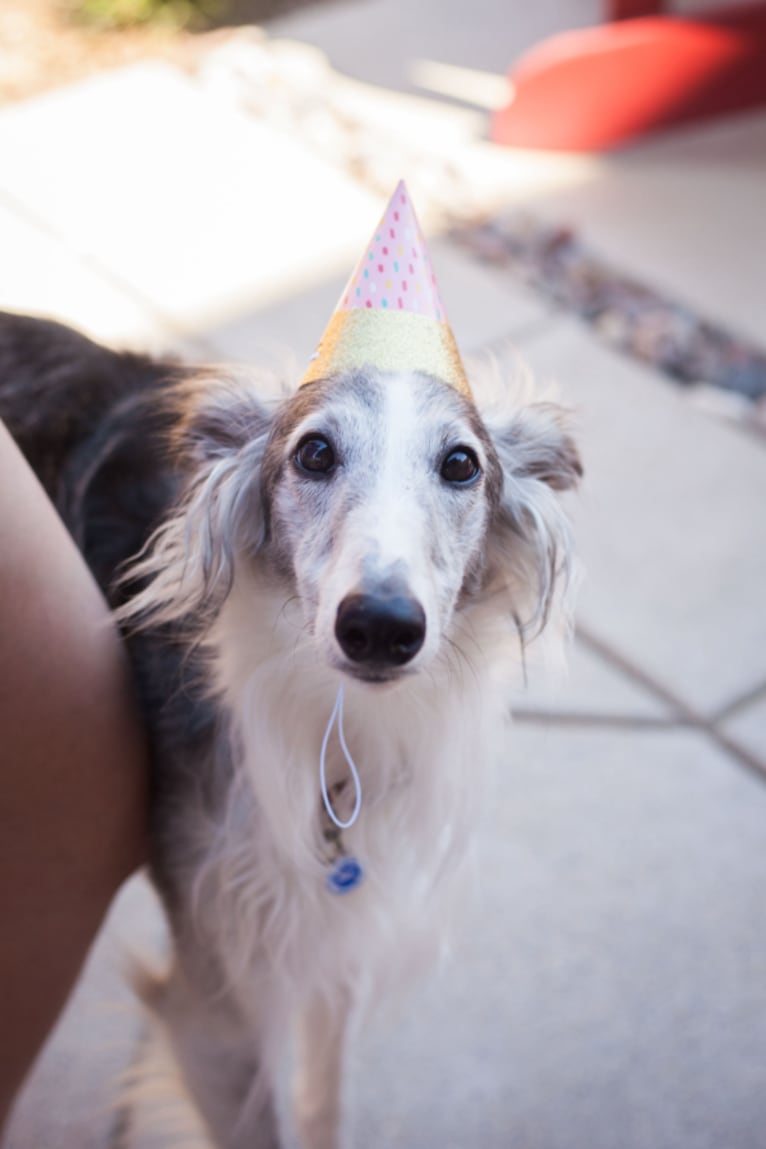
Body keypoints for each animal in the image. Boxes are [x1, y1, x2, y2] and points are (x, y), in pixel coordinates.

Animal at [0, 310, 581, 1144]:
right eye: (314, 451)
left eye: (461, 463)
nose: (380, 627)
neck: (335, 724)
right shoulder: (215, 1004)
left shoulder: (331, 936)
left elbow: (324, 1099)